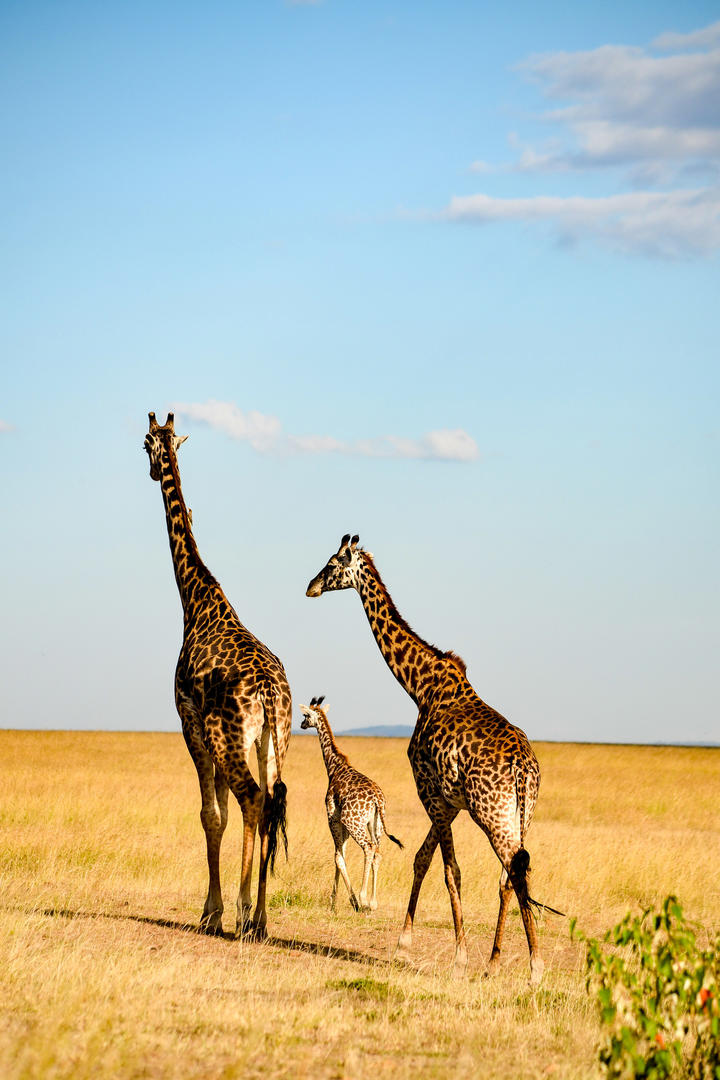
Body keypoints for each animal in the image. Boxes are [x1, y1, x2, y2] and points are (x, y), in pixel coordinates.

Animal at [142, 412, 291, 937]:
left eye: (144, 444)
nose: (152, 470)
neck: (196, 598)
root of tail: (269, 694)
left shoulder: (190, 723)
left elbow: (211, 814)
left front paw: (212, 911)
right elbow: (222, 814)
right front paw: (219, 908)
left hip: (227, 738)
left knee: (254, 800)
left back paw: (246, 913)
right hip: (273, 741)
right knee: (271, 803)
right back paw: (262, 917)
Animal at [295, 695, 403, 915]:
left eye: (305, 715)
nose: (301, 724)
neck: (334, 767)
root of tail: (377, 799)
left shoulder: (333, 818)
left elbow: (338, 857)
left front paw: (346, 901)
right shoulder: (342, 823)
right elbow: (341, 855)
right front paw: (334, 901)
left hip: (354, 822)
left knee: (368, 848)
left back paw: (363, 899)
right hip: (376, 825)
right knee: (378, 852)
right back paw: (373, 902)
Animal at [306, 535, 561, 984]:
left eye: (334, 563)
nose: (310, 587)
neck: (419, 686)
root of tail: (524, 771)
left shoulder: (429, 790)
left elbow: (448, 869)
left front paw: (458, 958)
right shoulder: (450, 801)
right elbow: (422, 859)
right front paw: (403, 945)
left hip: (493, 813)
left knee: (514, 869)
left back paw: (534, 968)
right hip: (521, 814)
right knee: (511, 874)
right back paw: (495, 963)